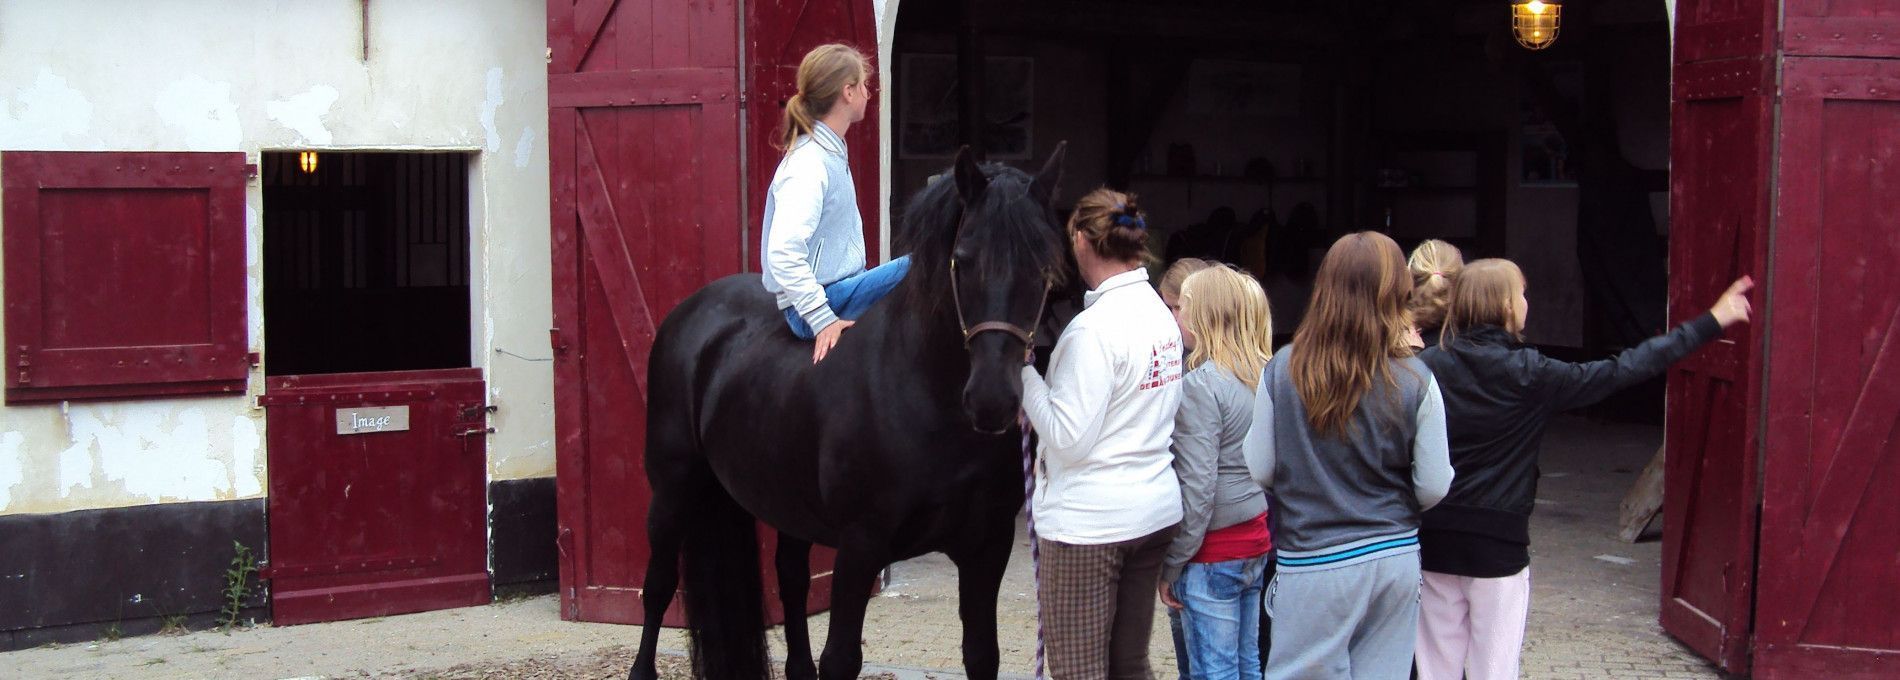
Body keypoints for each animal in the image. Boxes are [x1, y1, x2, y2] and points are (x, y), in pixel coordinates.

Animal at [623, 144, 1071, 680]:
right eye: (962, 261)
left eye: (1045, 267)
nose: (991, 401)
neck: (924, 394)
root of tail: (691, 313)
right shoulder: (861, 547)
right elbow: (840, 658)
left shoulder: (987, 547)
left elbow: (982, 654)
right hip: (673, 489)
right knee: (657, 588)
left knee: (791, 581)